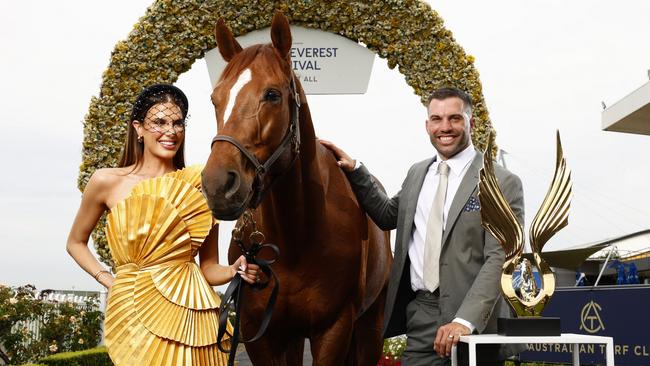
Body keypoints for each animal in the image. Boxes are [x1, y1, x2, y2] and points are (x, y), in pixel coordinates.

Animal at [204, 12, 390, 366]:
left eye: (272, 95)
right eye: (215, 98)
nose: (217, 185)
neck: (296, 240)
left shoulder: (334, 330)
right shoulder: (261, 334)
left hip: (370, 328)